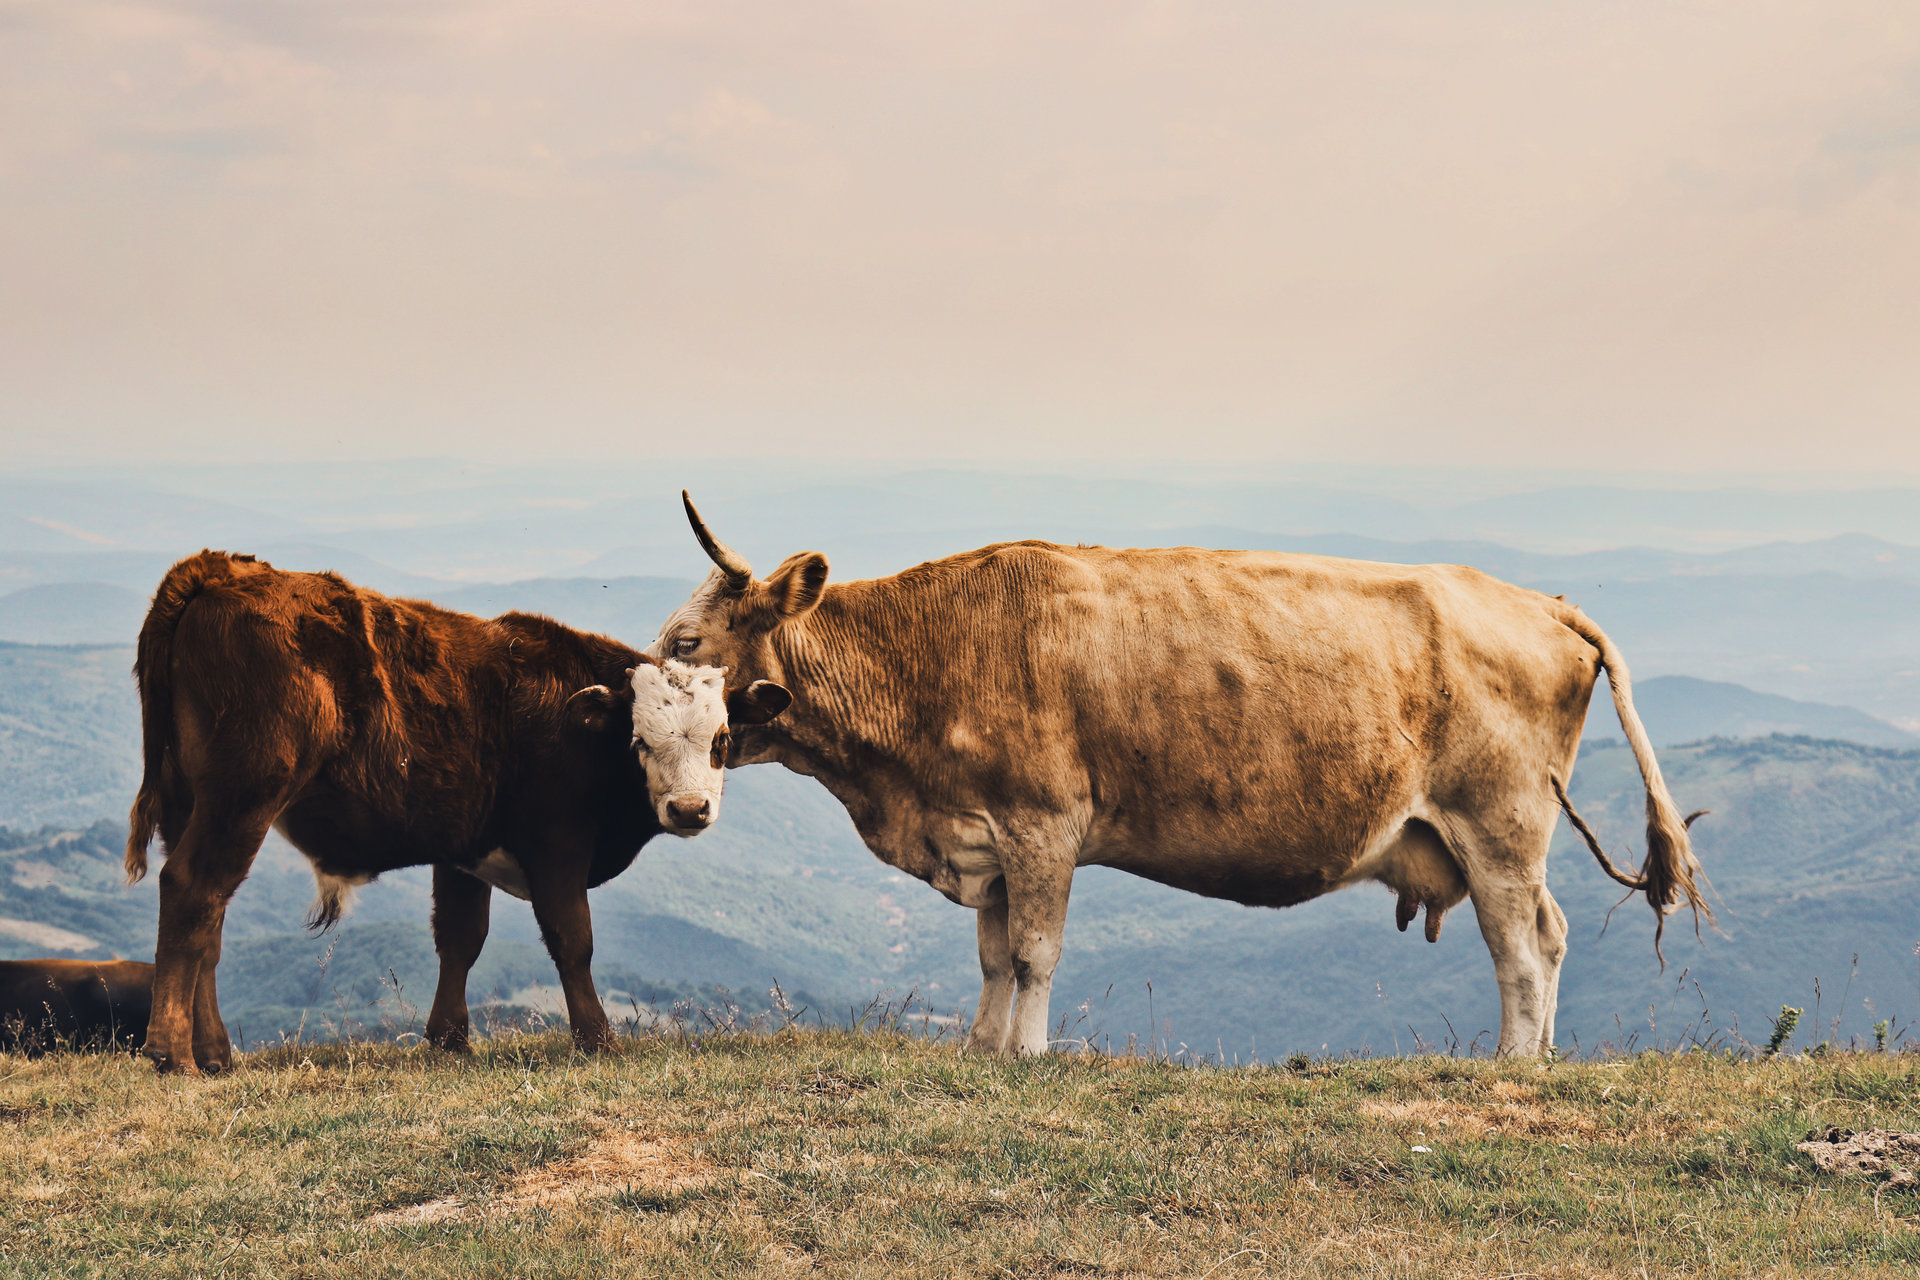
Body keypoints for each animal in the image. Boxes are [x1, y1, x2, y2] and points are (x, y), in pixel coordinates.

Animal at [127, 548, 787, 1074]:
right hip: (243, 797)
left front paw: (448, 1038)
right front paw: (597, 1038)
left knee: (208, 923)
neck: (574, 716)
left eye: (721, 739)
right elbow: (572, 939)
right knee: (192, 892)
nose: (690, 808)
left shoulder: (464, 850)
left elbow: (460, 938)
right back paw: (172, 1053)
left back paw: (214, 1052)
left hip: (193, 804)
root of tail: (221, 570)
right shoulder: (557, 844)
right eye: (640, 741)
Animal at [648, 498, 1712, 1059]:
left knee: (1521, 949)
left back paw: (1511, 1064)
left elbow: (1032, 953)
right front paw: (984, 1049)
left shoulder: (1043, 824)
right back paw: (1538, 1058)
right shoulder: (985, 839)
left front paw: (1026, 1055)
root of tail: (1537, 600)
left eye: (689, 643)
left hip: (1499, 823)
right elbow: (990, 957)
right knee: (1552, 935)